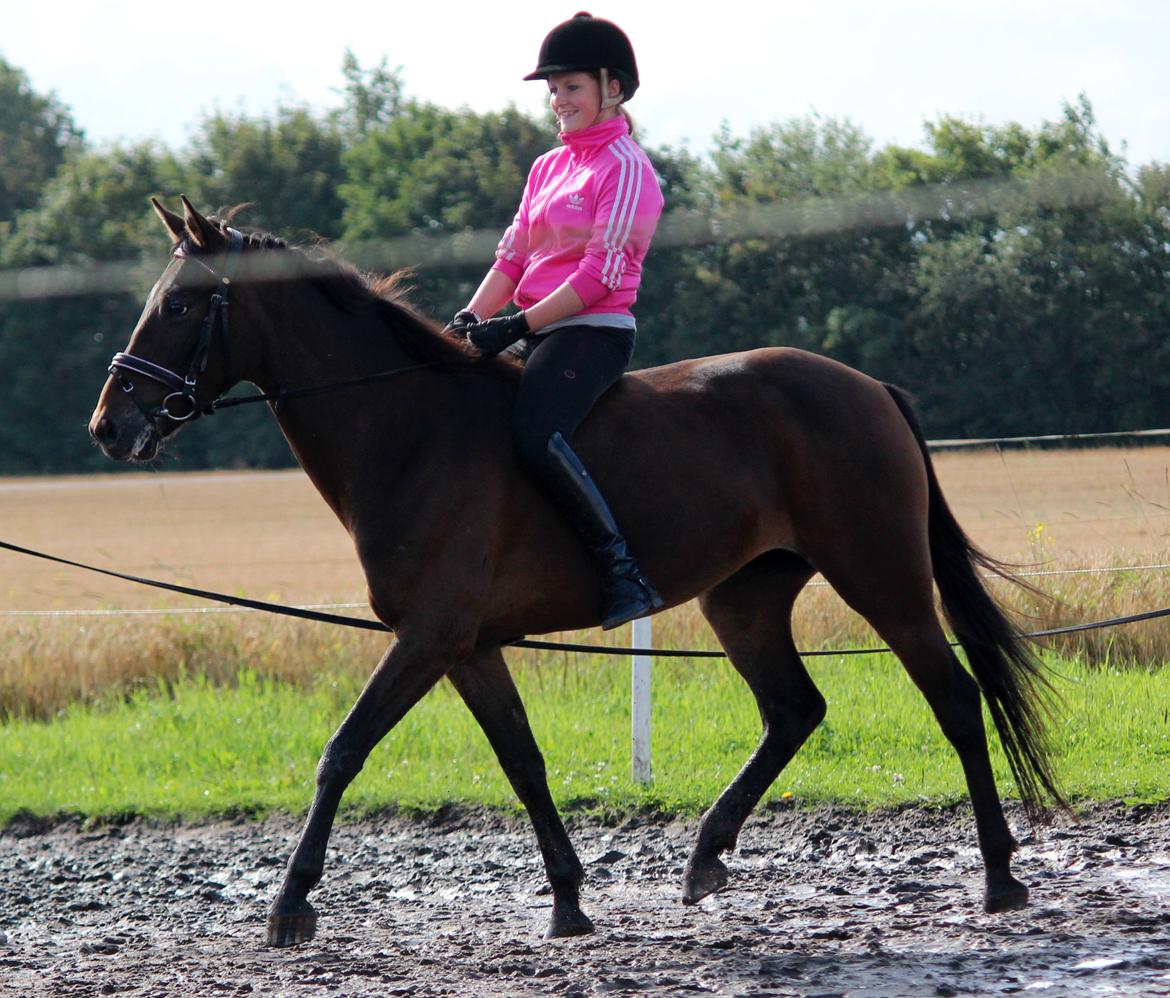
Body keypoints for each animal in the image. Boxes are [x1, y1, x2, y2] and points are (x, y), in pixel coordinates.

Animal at [86, 196, 1067, 950]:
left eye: (180, 307)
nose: (109, 425)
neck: (409, 431)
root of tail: (869, 387)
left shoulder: (427, 636)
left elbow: (343, 751)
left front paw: (290, 907)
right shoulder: (469, 647)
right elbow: (522, 761)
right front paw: (566, 901)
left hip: (882, 579)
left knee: (955, 700)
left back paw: (998, 877)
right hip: (743, 598)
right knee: (795, 710)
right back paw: (706, 858)